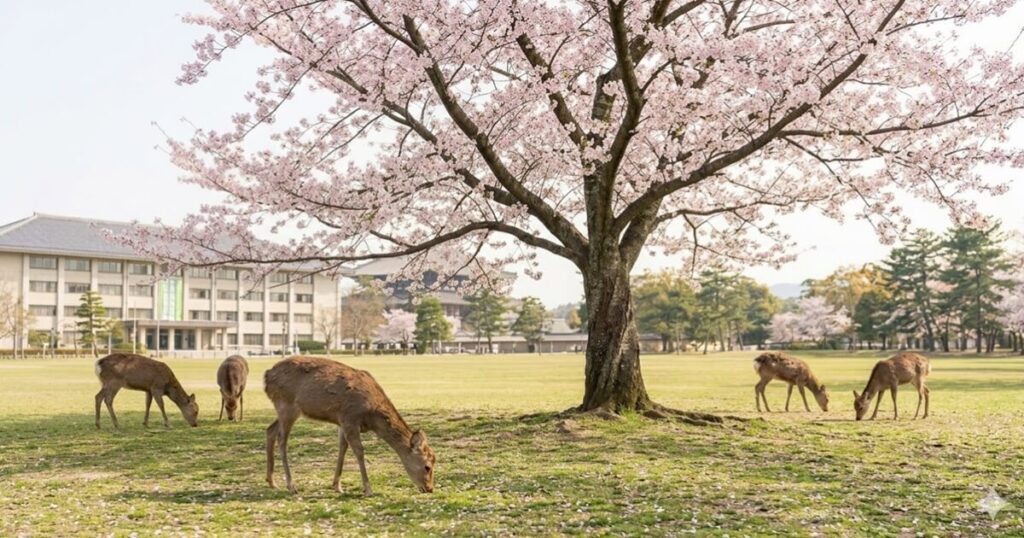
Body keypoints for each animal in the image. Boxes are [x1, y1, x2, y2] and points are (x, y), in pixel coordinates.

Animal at [264, 356, 436, 495]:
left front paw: (337, 486)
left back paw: (272, 482)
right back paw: (291, 486)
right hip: (286, 405)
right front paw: (368, 489)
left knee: (270, 430)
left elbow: (343, 448)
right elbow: (359, 451)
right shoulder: (350, 418)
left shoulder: (341, 422)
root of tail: (266, 376)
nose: (429, 488)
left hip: (284, 409)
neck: (371, 415)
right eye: (427, 466)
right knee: (282, 440)